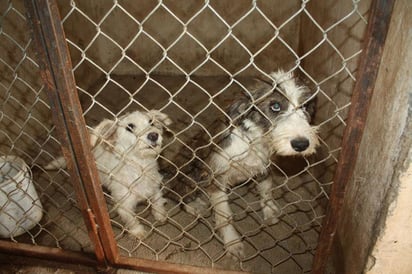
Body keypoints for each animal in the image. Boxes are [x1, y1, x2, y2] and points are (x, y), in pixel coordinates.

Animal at [45, 109, 172, 238]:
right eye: (129, 127)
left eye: (151, 122)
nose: (154, 135)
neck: (139, 166)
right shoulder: (123, 205)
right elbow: (131, 220)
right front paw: (138, 232)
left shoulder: (154, 187)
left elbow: (157, 201)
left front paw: (160, 214)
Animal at [185, 69, 320, 258]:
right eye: (275, 106)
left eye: (305, 106)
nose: (301, 145)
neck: (254, 141)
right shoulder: (217, 176)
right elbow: (224, 215)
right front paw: (233, 243)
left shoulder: (265, 168)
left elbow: (266, 191)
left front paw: (269, 212)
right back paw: (194, 205)